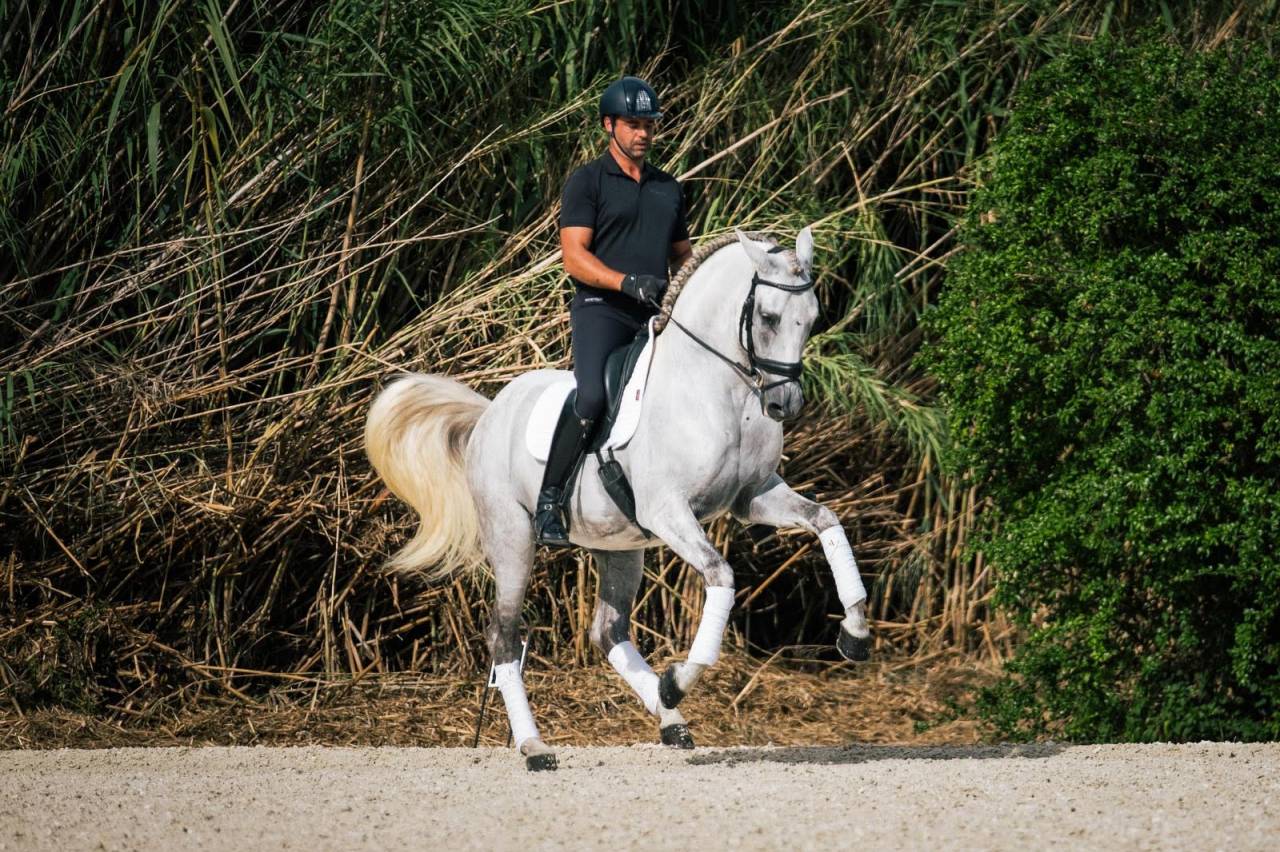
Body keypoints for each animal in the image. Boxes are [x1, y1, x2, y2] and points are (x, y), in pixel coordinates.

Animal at [365, 227, 871, 771]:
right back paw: (536, 746)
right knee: (504, 636)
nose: (784, 404)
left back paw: (669, 719)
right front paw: (679, 680)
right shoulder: (668, 510)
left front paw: (855, 634)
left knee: (608, 630)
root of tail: (489, 413)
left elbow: (827, 521)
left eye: (812, 318)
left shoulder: (754, 497)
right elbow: (721, 575)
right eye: (770, 317)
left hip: (619, 546)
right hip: (512, 538)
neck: (718, 393)